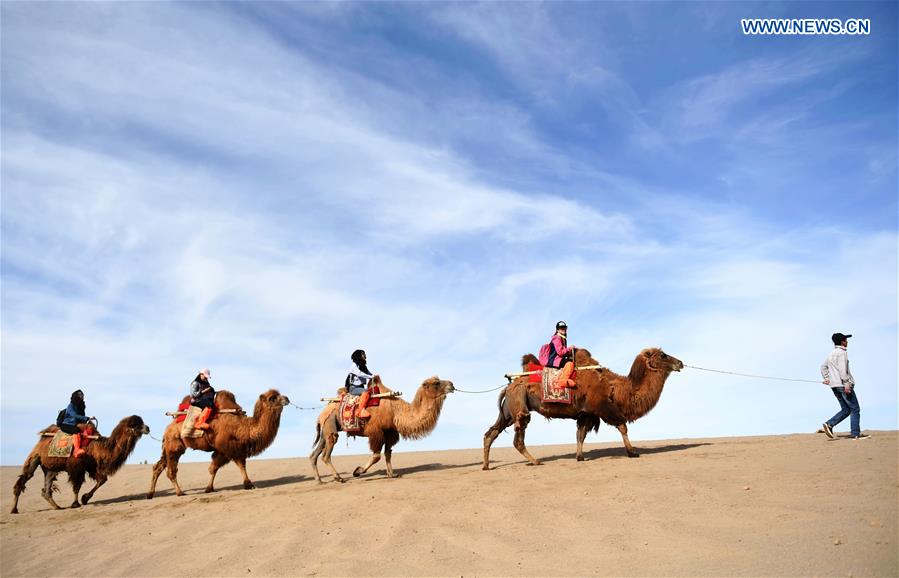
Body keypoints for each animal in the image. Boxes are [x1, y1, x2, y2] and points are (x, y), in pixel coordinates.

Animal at [147, 388, 288, 496]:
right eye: (272, 398)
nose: (287, 398)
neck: (243, 427)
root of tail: (168, 427)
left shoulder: (225, 450)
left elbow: (214, 468)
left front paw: (209, 488)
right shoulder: (229, 447)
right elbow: (239, 464)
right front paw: (249, 484)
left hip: (168, 446)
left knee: (158, 466)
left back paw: (150, 494)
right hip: (174, 445)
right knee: (171, 470)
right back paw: (180, 492)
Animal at [312, 374, 458, 482]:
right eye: (436, 383)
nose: (452, 384)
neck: (395, 411)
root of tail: (321, 413)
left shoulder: (390, 433)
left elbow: (388, 453)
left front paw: (391, 474)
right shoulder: (376, 432)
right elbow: (377, 456)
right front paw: (358, 471)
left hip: (326, 429)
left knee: (315, 453)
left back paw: (319, 480)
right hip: (330, 423)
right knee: (326, 454)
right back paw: (338, 477)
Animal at [486, 346, 684, 468]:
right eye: (663, 355)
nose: (680, 363)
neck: (614, 388)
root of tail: (509, 386)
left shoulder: (586, 414)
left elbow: (580, 435)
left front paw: (579, 457)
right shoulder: (603, 408)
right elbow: (622, 426)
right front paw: (632, 452)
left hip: (508, 411)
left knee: (491, 433)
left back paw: (486, 466)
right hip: (519, 406)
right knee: (517, 438)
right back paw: (535, 461)